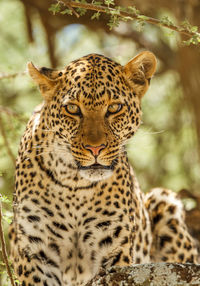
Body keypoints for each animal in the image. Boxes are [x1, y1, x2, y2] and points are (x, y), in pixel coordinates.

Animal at [9, 51, 197, 286]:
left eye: (114, 108)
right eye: (72, 108)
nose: (95, 148)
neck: (74, 185)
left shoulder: (112, 249)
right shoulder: (36, 250)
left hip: (165, 201)